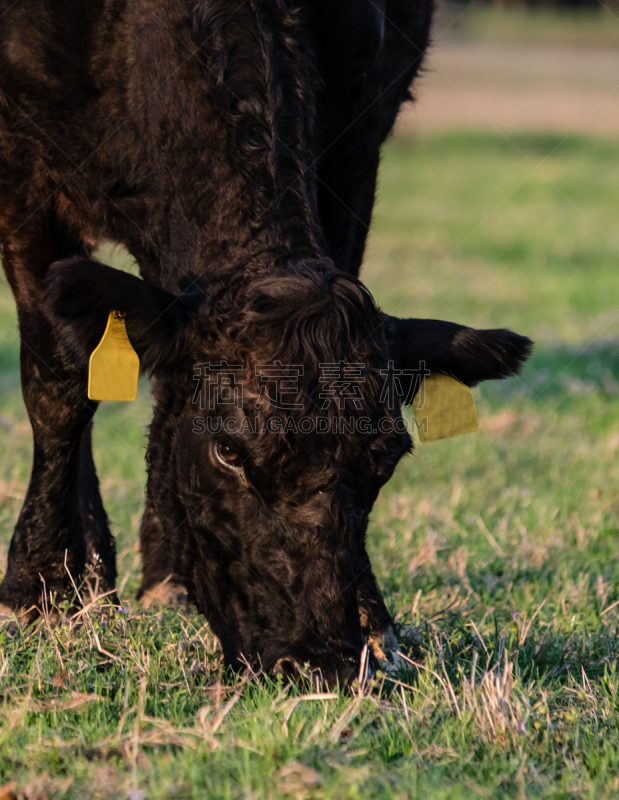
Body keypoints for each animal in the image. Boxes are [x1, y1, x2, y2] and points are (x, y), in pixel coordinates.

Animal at [1, 1, 532, 680]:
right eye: (228, 450)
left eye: (386, 458)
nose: (319, 660)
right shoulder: (23, 172)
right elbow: (61, 386)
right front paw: (40, 587)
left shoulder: (355, 144)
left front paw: (372, 618)